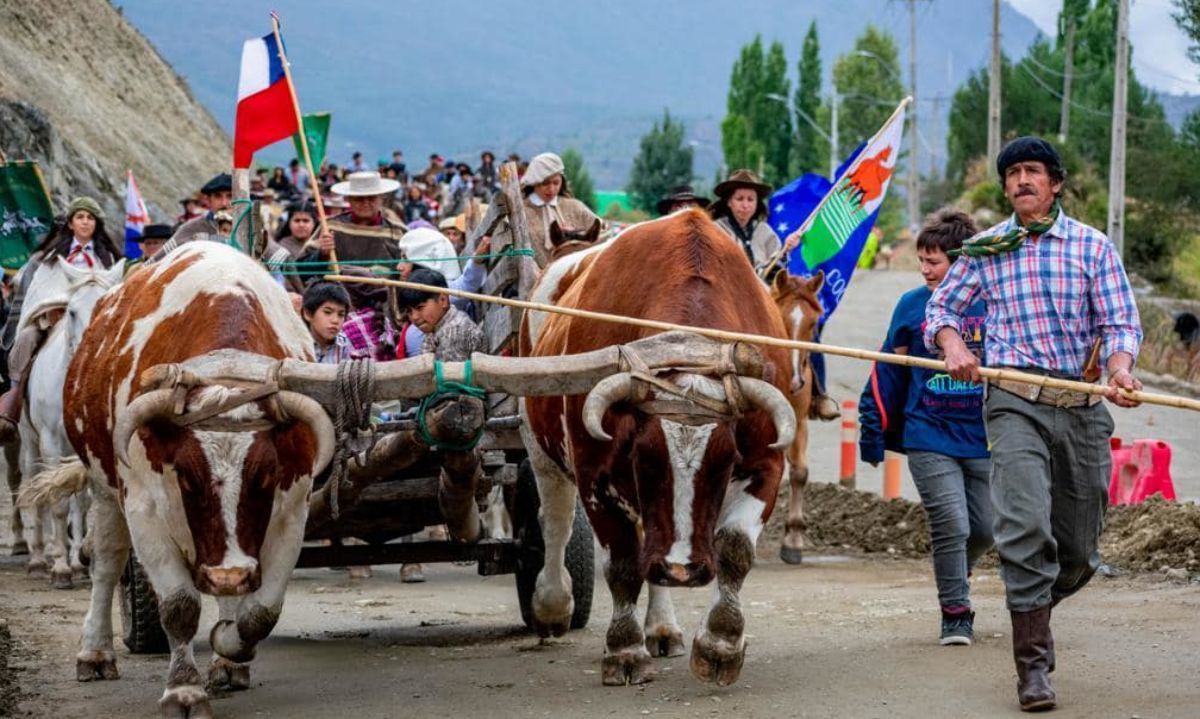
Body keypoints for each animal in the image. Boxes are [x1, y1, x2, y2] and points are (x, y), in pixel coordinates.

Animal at [17, 261, 124, 588]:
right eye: (73, 312)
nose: (94, 349)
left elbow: (83, 503)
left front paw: (79, 563)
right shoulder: (51, 442)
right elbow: (58, 503)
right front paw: (61, 568)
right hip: (30, 443)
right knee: (32, 485)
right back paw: (39, 558)